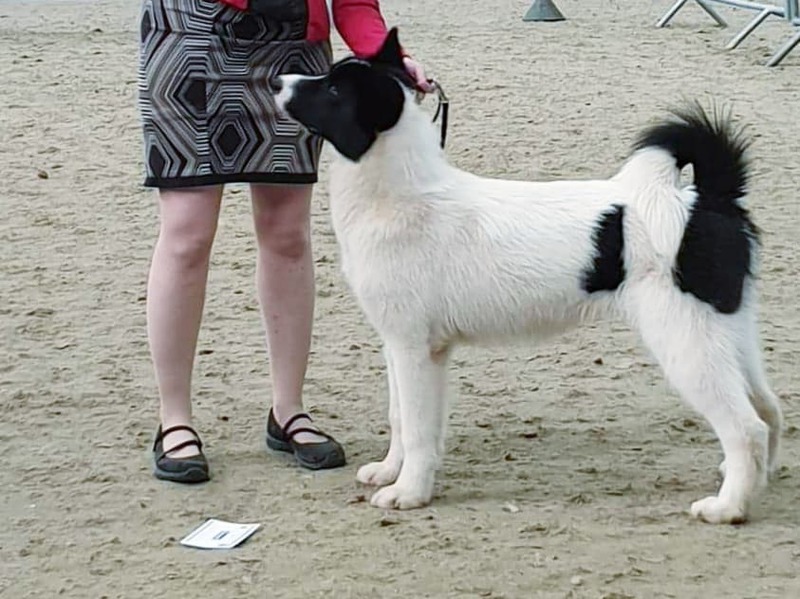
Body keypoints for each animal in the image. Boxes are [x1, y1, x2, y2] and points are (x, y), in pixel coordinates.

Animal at [274, 29, 783, 524]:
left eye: (333, 90)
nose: (278, 81)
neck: (401, 195)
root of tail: (707, 199)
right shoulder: (402, 345)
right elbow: (402, 419)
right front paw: (389, 471)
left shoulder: (414, 348)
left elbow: (417, 428)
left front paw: (409, 493)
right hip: (726, 332)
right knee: (768, 409)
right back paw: (751, 483)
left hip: (685, 341)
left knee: (746, 427)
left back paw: (727, 507)